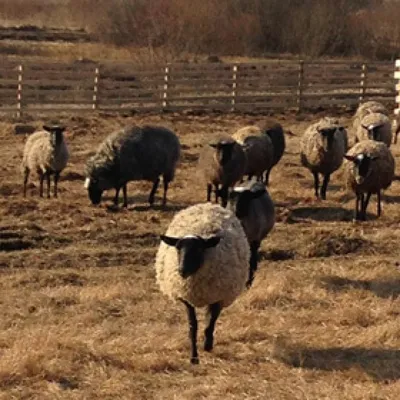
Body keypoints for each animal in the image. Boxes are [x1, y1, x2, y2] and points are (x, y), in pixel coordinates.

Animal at [155, 205, 248, 364]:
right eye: (178, 248)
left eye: (199, 249)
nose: (182, 271)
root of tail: (209, 205)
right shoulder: (187, 299)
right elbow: (193, 327)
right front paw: (194, 357)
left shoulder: (219, 297)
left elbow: (211, 322)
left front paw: (207, 345)